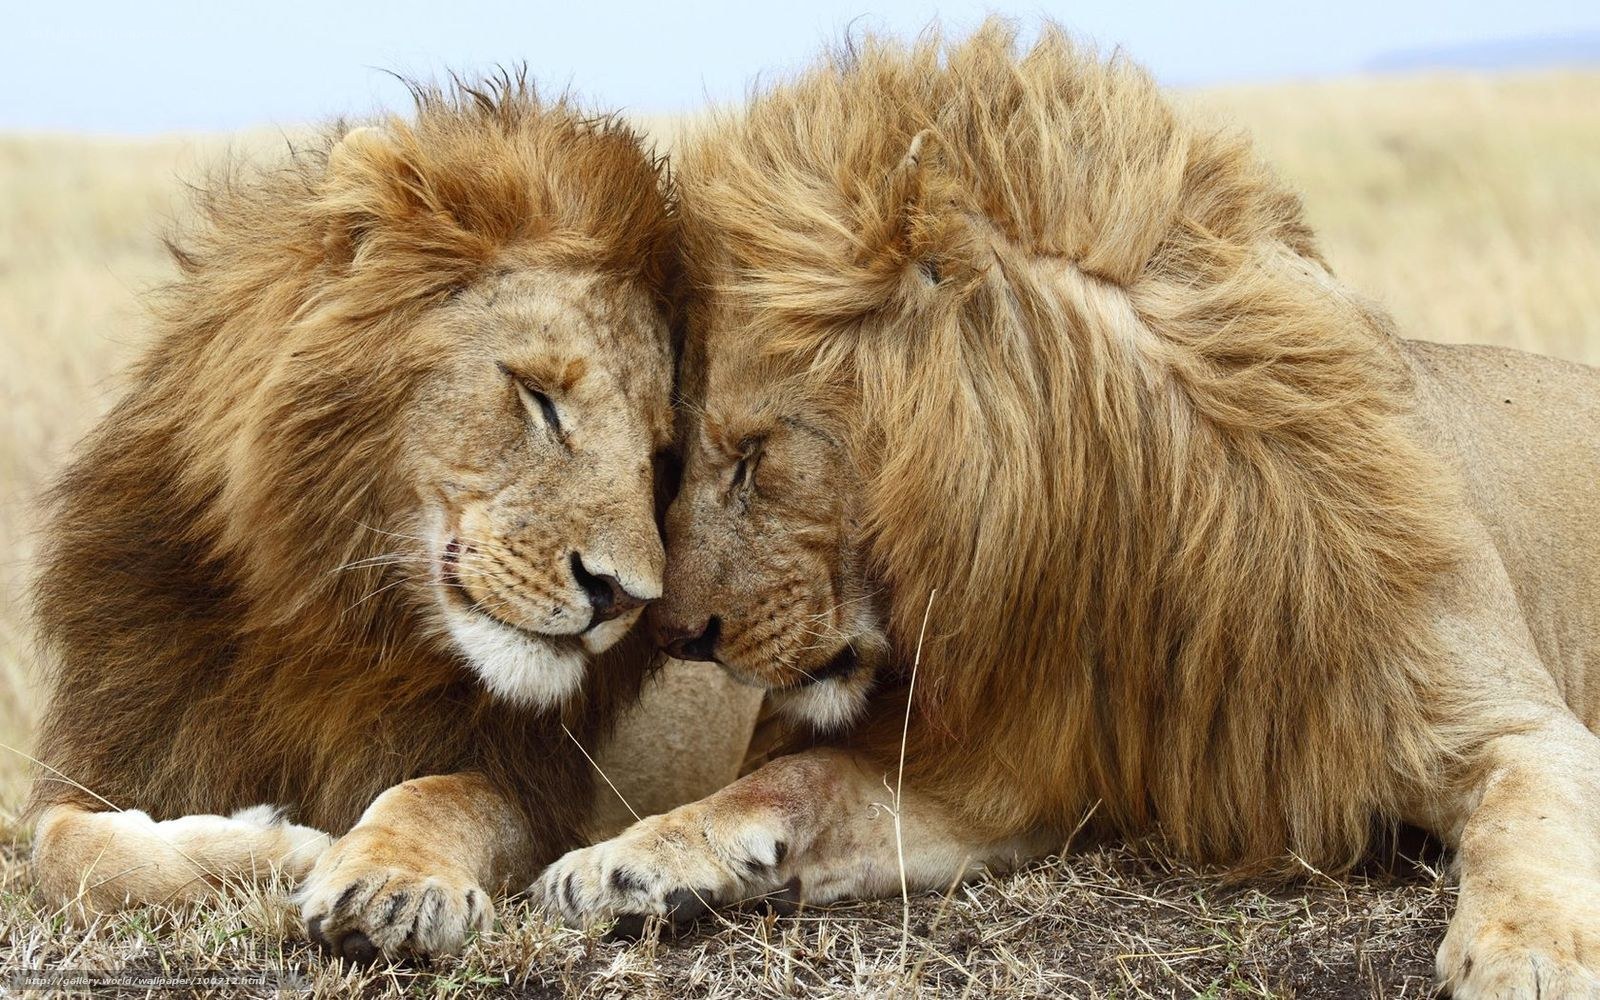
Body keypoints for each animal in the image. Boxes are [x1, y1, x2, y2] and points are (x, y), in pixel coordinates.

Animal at [25, 78, 758, 963]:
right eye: (539, 397)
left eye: (659, 457)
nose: (623, 596)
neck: (332, 619)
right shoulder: (115, 747)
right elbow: (62, 850)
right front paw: (277, 847)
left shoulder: (534, 786)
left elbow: (439, 795)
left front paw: (388, 882)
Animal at [538, 25, 1600, 998]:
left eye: (755, 456)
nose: (675, 635)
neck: (1125, 525)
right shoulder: (1012, 769)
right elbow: (799, 778)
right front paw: (623, 860)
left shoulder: (1513, 725)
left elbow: (1530, 825)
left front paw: (1526, 959)